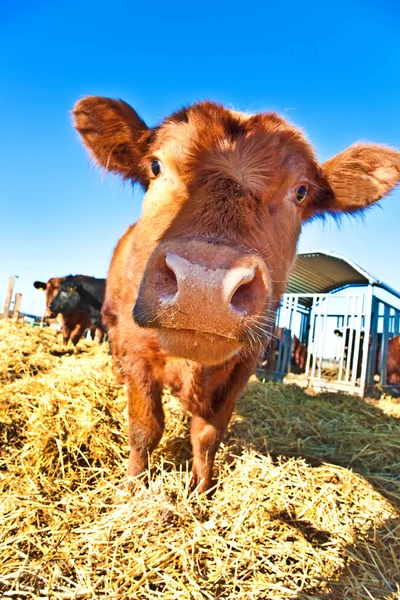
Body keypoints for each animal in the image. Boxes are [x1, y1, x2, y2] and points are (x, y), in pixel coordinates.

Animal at [72, 95, 400, 492]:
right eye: (156, 166)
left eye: (300, 191)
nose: (204, 284)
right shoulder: (137, 351)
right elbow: (145, 428)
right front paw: (134, 486)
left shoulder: (243, 365)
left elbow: (207, 435)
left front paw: (200, 489)